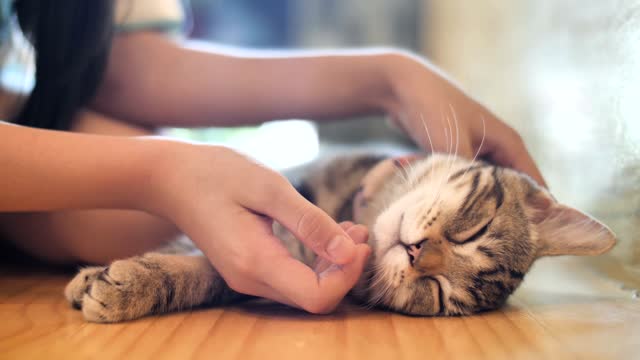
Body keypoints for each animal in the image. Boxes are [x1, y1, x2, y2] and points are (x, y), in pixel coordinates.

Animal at [63, 153, 616, 322]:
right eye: (472, 231)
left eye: (438, 295)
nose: (417, 253)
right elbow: (189, 247)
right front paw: (107, 278)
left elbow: (209, 272)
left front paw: (127, 287)